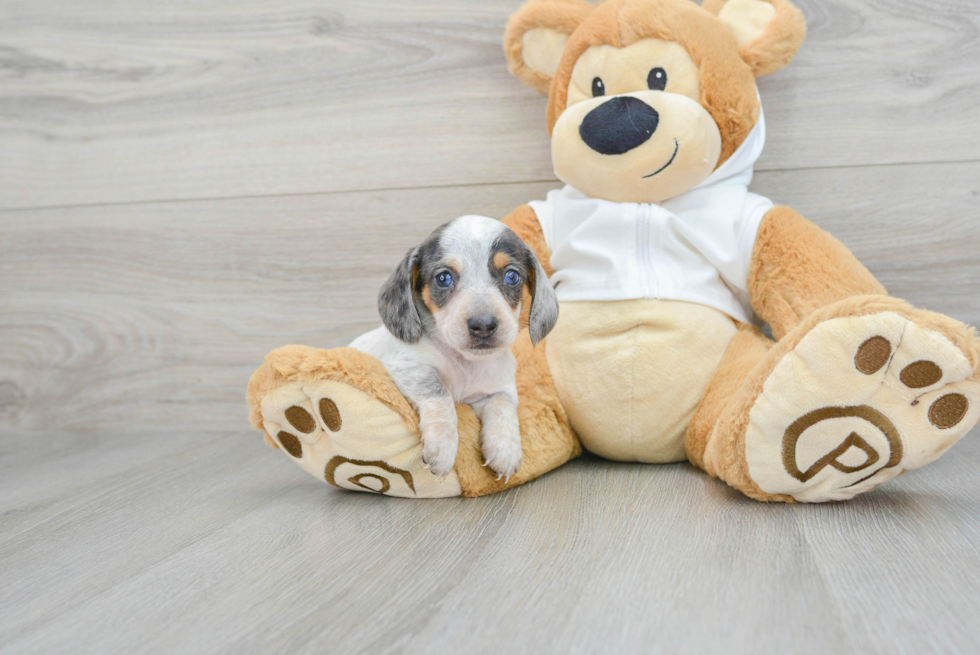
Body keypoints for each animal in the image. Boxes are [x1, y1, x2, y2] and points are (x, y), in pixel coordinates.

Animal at [350, 218, 560, 480]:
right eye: (443, 278)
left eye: (512, 276)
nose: (483, 325)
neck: (464, 363)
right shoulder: (410, 366)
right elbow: (441, 395)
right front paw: (443, 446)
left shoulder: (499, 388)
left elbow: (503, 405)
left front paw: (505, 448)